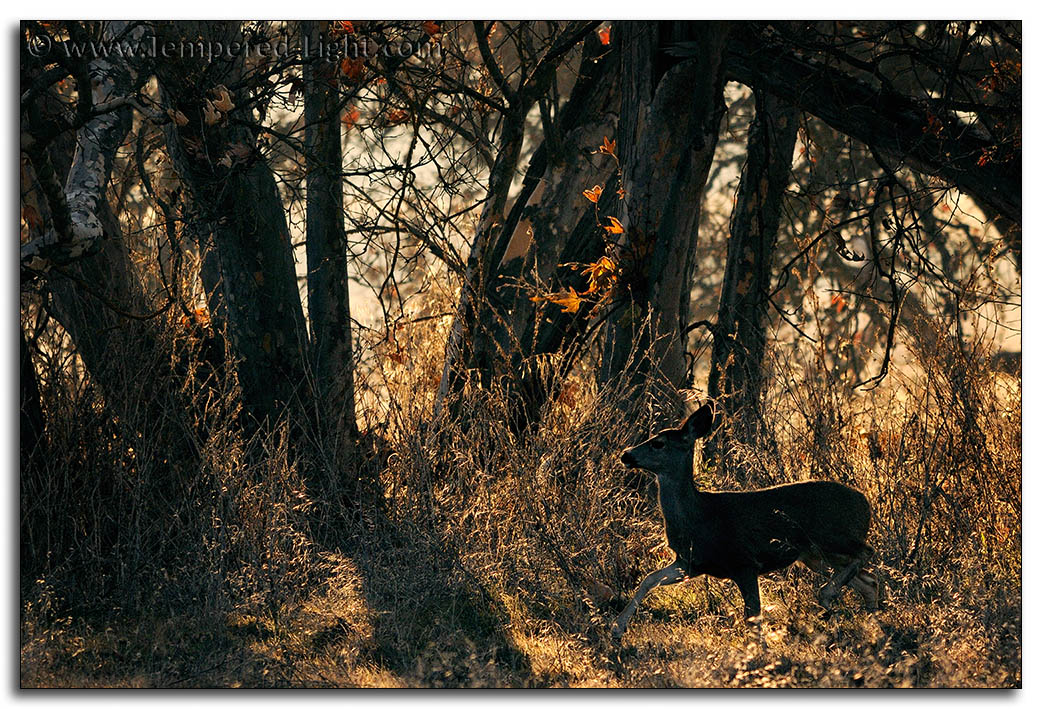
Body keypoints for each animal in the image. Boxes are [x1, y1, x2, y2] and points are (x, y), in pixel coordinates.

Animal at [611, 403, 879, 639]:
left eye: (658, 443)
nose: (625, 455)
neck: (698, 517)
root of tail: (865, 502)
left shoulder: (744, 561)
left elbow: (753, 617)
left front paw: (759, 655)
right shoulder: (690, 562)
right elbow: (649, 579)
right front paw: (618, 628)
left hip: (833, 536)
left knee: (867, 552)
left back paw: (829, 596)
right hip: (814, 556)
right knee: (869, 580)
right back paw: (870, 623)